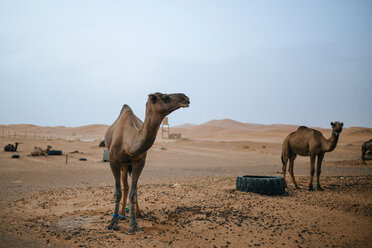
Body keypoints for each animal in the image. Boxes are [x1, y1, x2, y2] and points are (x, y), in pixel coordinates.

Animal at [104, 92, 190, 232]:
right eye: (165, 97)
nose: (185, 98)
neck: (128, 141)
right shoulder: (113, 161)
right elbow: (117, 192)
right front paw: (112, 224)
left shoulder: (139, 162)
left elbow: (133, 193)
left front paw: (133, 225)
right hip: (123, 165)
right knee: (125, 185)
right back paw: (121, 213)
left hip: (128, 165)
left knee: (130, 187)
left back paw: (137, 213)